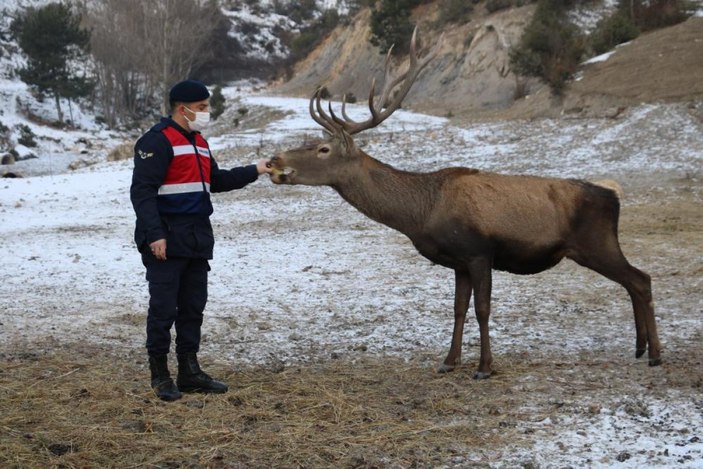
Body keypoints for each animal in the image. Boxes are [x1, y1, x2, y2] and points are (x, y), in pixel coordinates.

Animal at [266, 29, 664, 378]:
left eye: (323, 149)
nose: (274, 159)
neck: (422, 213)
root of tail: (613, 196)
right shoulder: (457, 261)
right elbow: (458, 309)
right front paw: (449, 362)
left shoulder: (479, 251)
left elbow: (482, 309)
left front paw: (484, 367)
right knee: (634, 281)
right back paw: (640, 347)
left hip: (596, 242)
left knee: (641, 279)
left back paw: (656, 354)